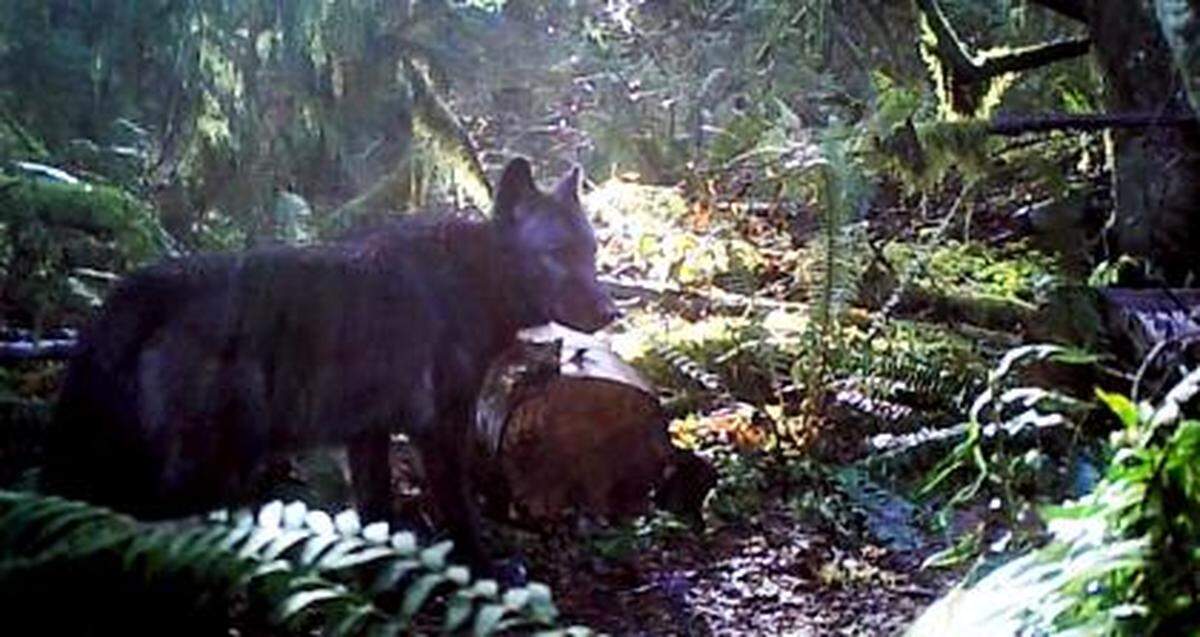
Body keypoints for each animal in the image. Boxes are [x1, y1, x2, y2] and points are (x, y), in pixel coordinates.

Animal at [42, 158, 618, 572]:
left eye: (591, 251)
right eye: (558, 253)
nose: (611, 313)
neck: (472, 281)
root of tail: (138, 288)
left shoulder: (368, 434)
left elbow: (377, 513)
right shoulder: (440, 432)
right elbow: (461, 514)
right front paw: (488, 572)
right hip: (214, 467)